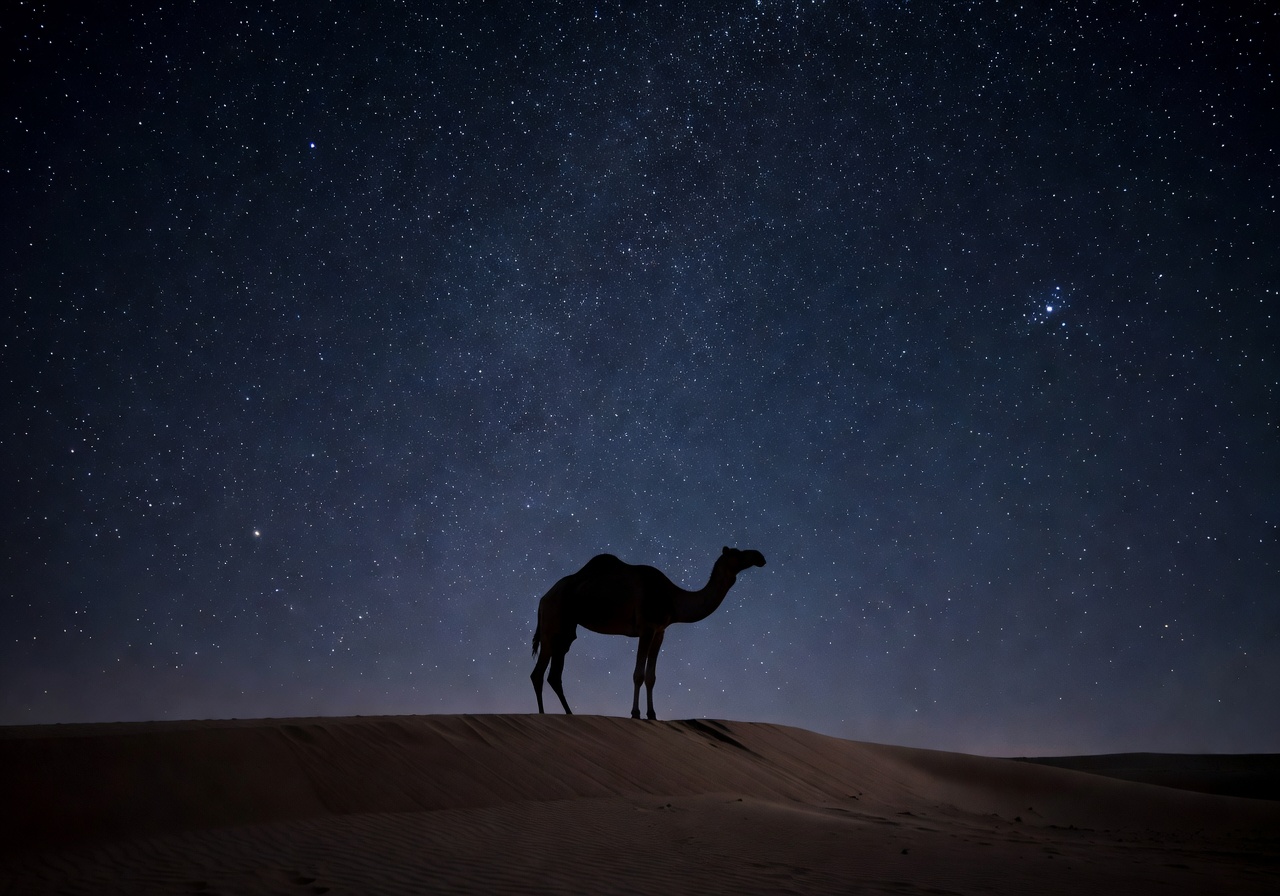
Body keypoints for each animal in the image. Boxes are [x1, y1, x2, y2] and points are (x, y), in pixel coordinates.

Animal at [530, 546, 766, 720]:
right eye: (736, 552)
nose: (759, 556)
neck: (673, 599)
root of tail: (542, 599)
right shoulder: (646, 627)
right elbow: (638, 674)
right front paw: (635, 713)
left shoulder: (660, 632)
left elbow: (651, 676)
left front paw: (652, 714)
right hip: (552, 623)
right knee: (539, 673)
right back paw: (543, 715)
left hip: (566, 631)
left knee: (553, 674)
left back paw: (568, 713)